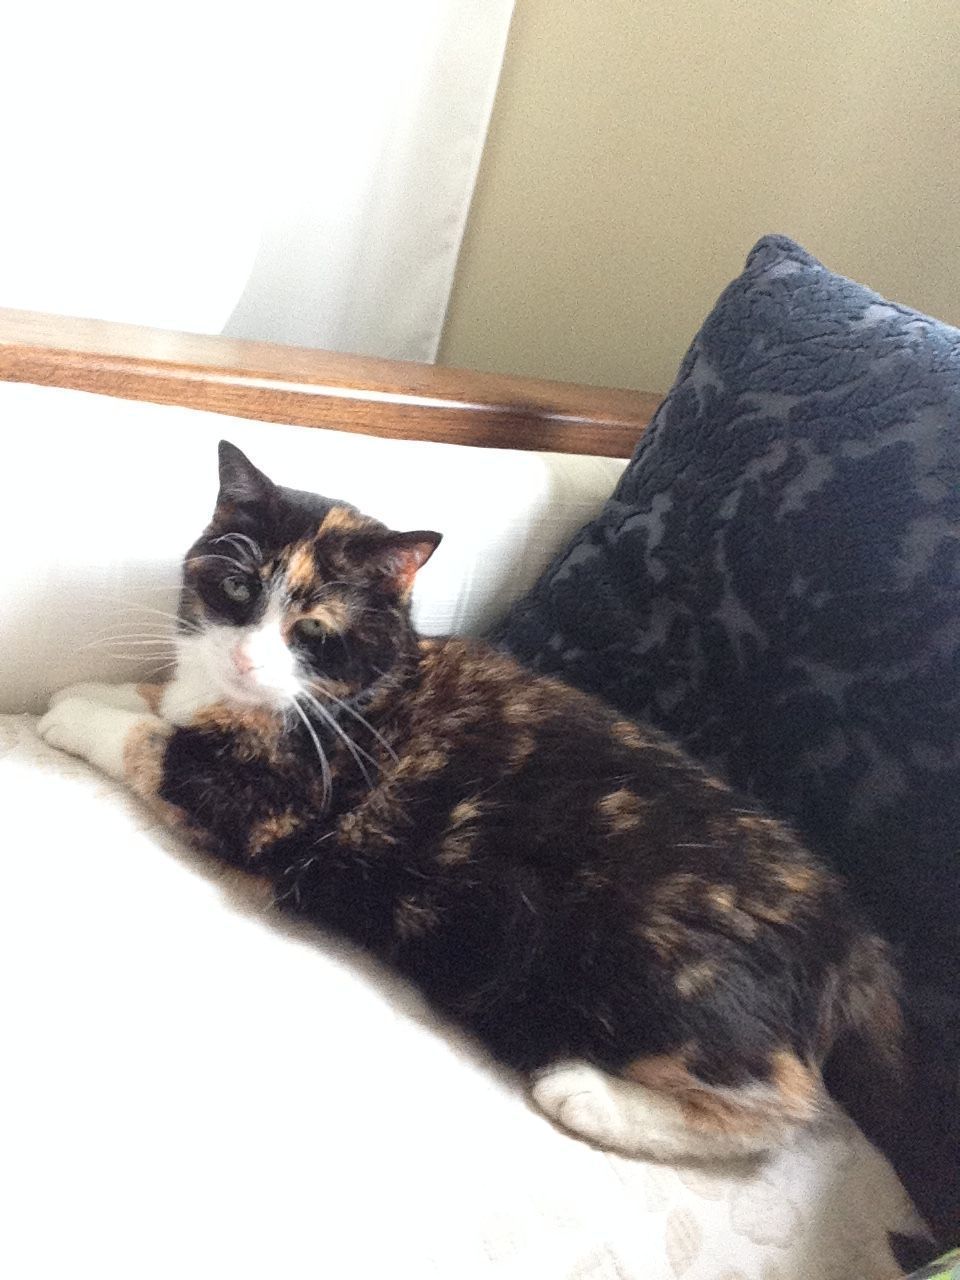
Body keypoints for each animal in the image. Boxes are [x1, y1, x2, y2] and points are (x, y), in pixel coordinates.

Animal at [38, 440, 956, 1246]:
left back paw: (587, 1094)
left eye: (314, 632)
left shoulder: (273, 806)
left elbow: (154, 744)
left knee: (780, 1102)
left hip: (650, 970)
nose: (245, 659)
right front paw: (106, 688)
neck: (361, 689)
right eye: (235, 586)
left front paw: (72, 712)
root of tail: (854, 939)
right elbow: (156, 705)